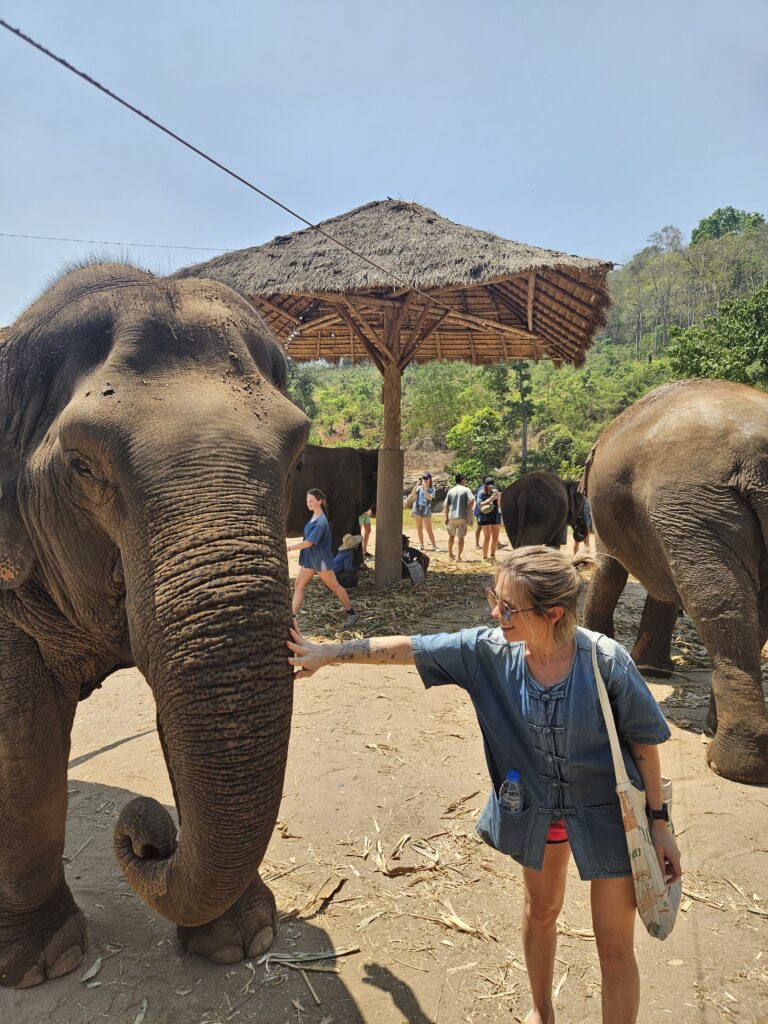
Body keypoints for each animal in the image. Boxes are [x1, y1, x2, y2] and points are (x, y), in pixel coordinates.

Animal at [0, 263, 309, 987]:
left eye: (298, 452)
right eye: (82, 466)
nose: (147, 832)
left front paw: (239, 942)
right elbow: (22, 729)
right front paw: (41, 967)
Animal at [582, 379, 768, 785]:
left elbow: (609, 570)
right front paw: (652, 668)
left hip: (690, 503)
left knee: (718, 603)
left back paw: (729, 764)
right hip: (698, 508)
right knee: (742, 610)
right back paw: (724, 739)